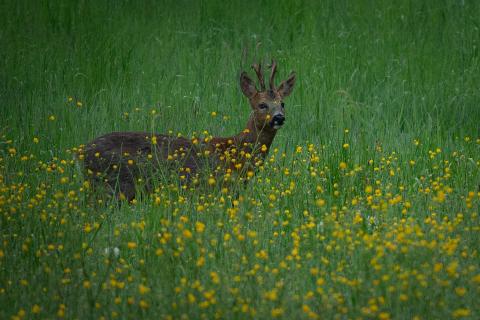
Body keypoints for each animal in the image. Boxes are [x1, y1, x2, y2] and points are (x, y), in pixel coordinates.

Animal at [83, 59, 294, 200]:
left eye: (282, 103)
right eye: (262, 105)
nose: (279, 117)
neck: (235, 150)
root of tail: (81, 152)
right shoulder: (218, 187)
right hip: (113, 186)